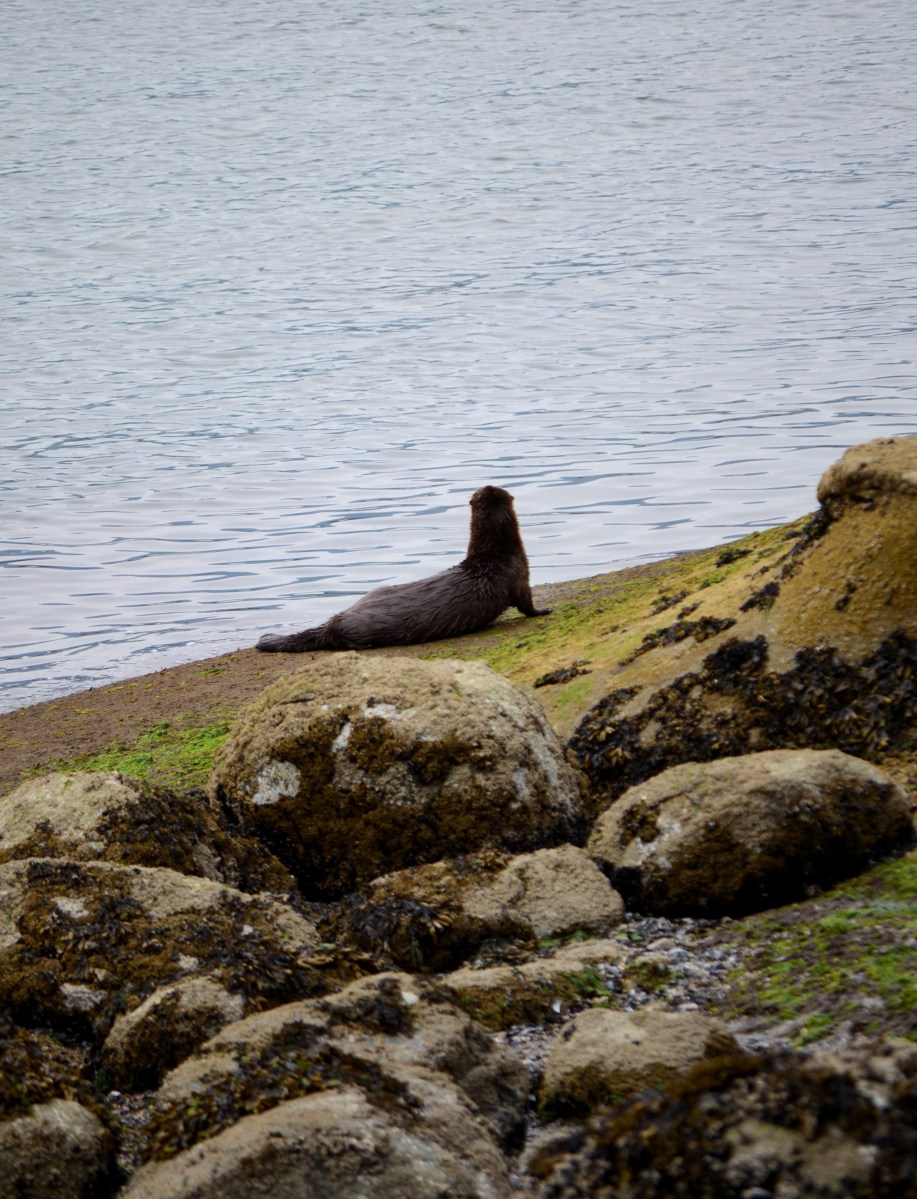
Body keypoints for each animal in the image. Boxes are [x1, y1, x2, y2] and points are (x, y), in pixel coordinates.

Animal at [256, 485, 551, 652]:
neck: (495, 551)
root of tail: (336, 618)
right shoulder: (519, 573)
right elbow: (526, 603)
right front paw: (544, 610)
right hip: (362, 626)